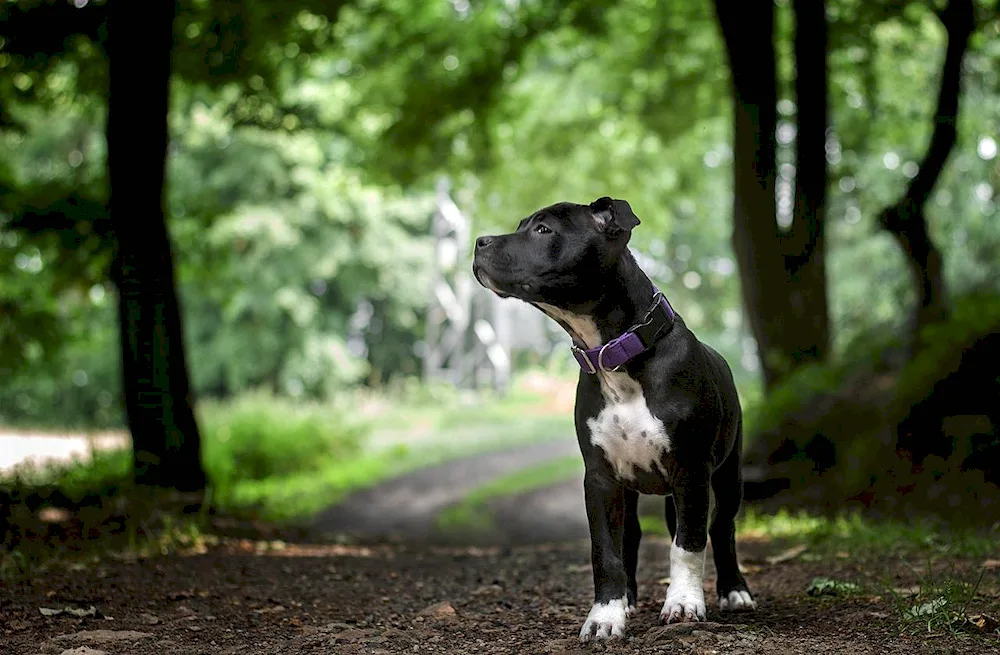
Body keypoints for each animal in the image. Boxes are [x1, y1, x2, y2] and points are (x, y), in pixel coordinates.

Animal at [472, 197, 752, 644]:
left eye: (543, 230)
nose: (480, 241)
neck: (614, 354)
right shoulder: (601, 478)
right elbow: (606, 549)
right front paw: (606, 615)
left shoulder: (691, 471)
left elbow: (689, 545)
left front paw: (684, 604)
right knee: (633, 536)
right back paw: (630, 599)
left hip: (727, 475)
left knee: (721, 528)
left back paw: (734, 591)